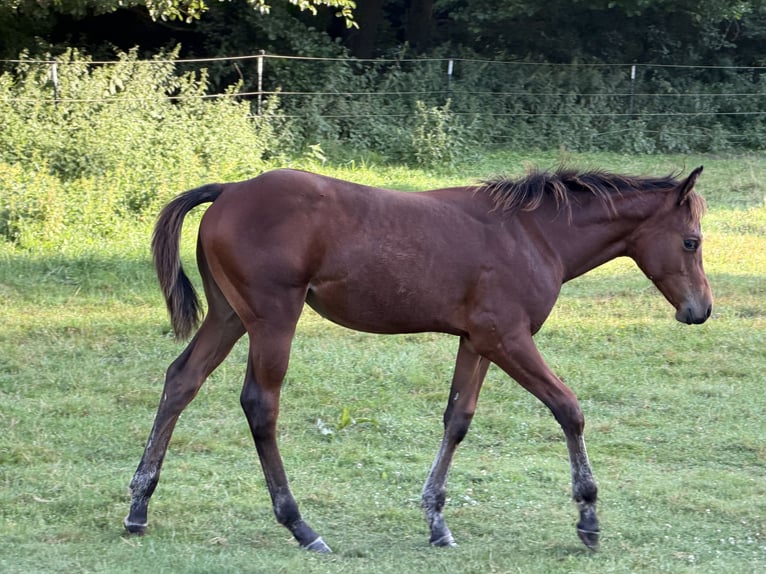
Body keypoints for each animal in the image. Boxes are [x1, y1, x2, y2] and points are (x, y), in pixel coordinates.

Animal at [125, 165, 712, 553]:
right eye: (691, 241)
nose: (700, 310)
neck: (532, 235)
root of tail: (229, 190)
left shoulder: (476, 341)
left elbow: (457, 421)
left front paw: (436, 520)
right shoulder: (509, 339)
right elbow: (568, 408)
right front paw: (588, 517)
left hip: (228, 316)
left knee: (181, 381)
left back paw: (138, 507)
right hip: (272, 320)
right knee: (260, 405)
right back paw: (300, 526)